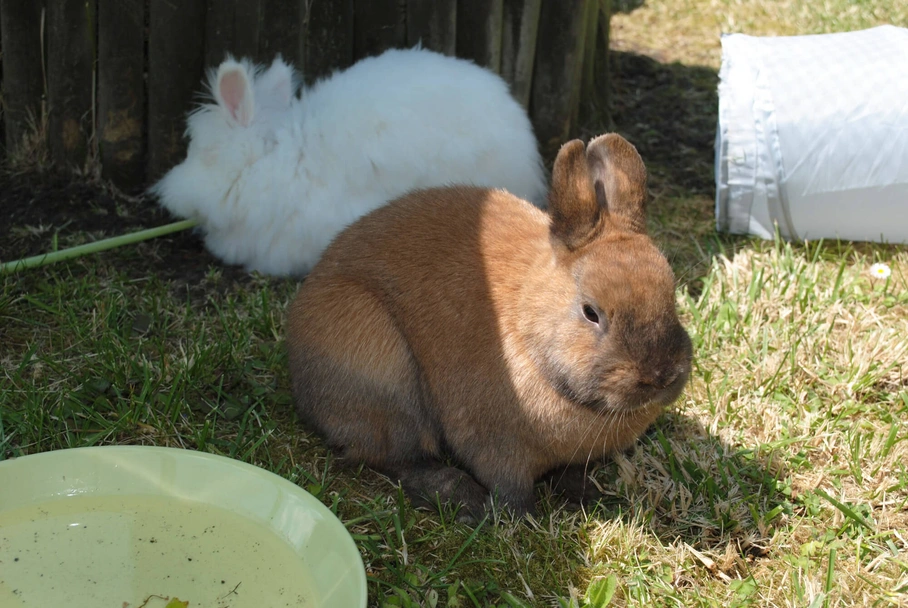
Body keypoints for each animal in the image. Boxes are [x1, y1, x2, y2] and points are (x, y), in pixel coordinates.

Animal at [285, 133, 694, 520]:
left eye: (670, 293)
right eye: (590, 312)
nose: (659, 376)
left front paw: (586, 495)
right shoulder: (495, 448)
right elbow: (509, 484)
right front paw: (520, 517)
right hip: (385, 379)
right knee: (398, 456)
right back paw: (465, 499)